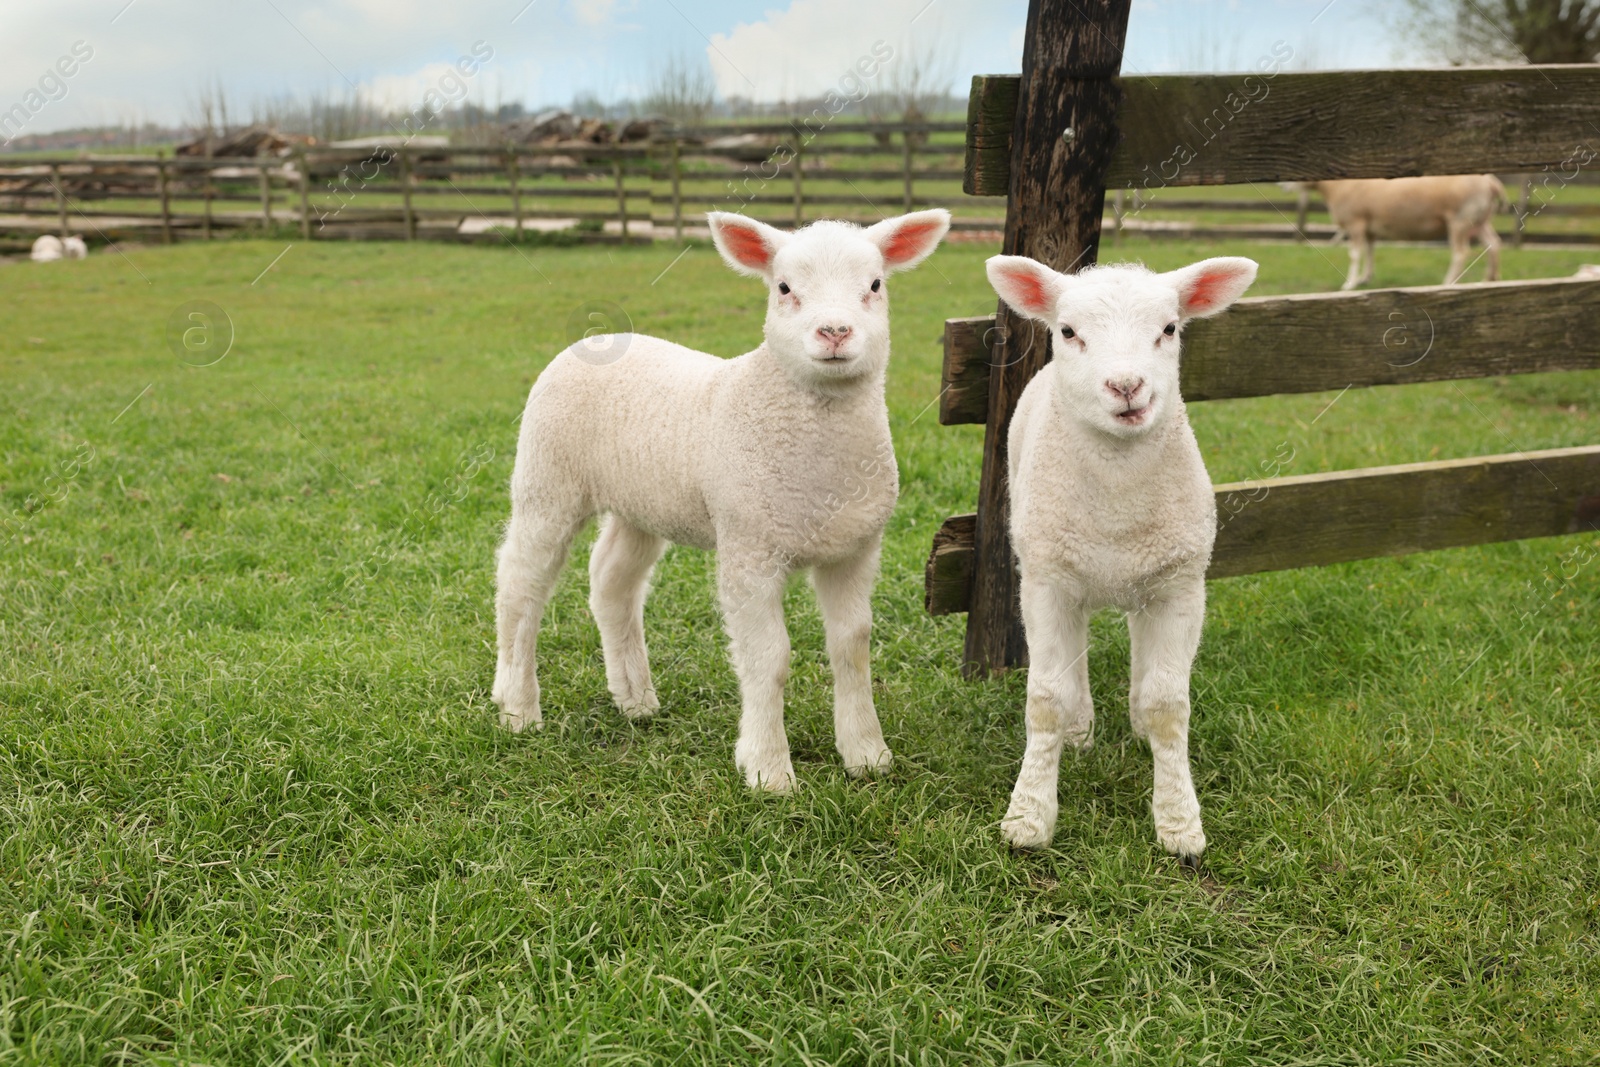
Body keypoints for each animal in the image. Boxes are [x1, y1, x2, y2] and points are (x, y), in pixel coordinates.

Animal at [492, 207, 947, 793]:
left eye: (874, 285)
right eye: (783, 288)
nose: (835, 331)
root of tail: (599, 337)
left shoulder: (856, 548)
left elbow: (852, 646)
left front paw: (867, 753)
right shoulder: (749, 548)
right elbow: (769, 657)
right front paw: (768, 768)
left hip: (642, 501)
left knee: (612, 581)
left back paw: (634, 698)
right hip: (547, 481)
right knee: (520, 585)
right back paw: (518, 707)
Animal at [985, 254, 1260, 863]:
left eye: (1169, 329)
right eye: (1068, 331)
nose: (1127, 386)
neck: (1116, 499)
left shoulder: (1182, 585)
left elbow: (1169, 705)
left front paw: (1179, 822)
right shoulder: (1046, 583)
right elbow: (1045, 697)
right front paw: (1028, 817)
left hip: (1150, 571)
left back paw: (1133, 719)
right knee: (1075, 652)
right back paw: (1080, 728)